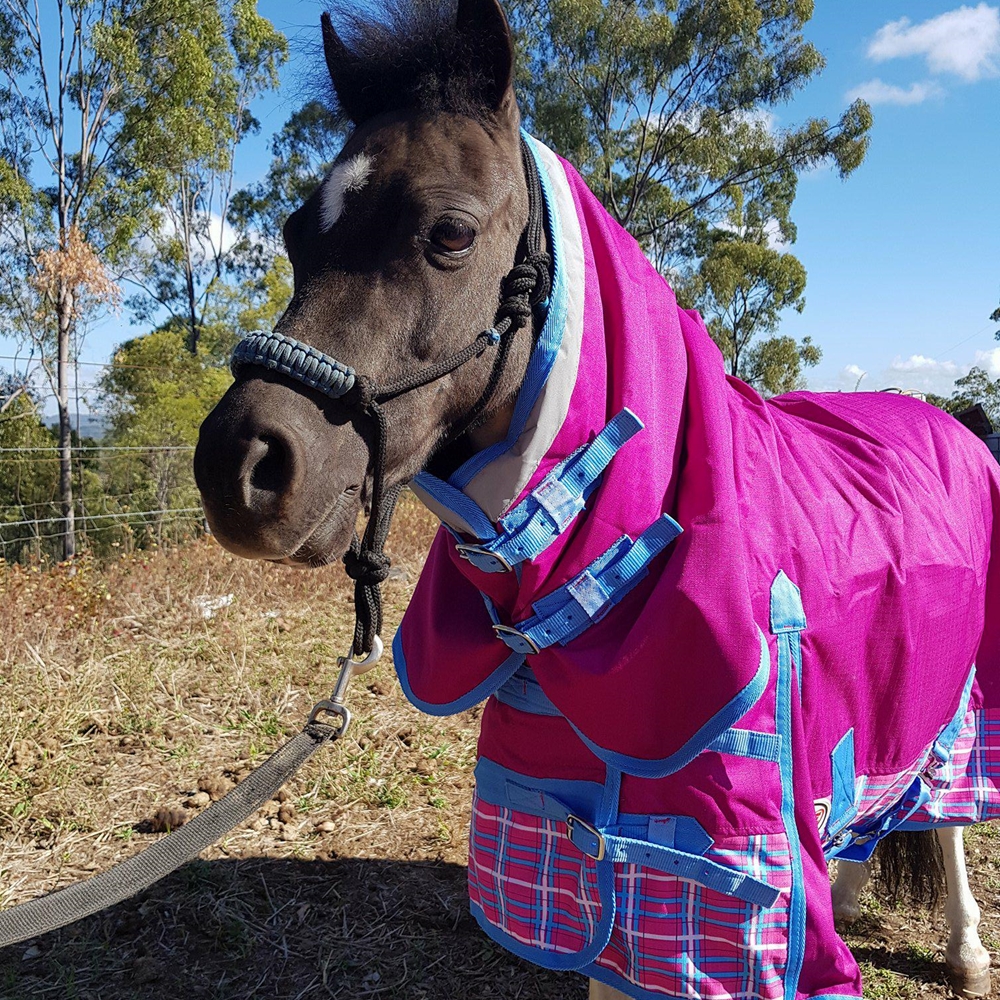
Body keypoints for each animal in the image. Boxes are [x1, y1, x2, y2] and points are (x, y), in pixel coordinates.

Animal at [194, 2, 1000, 997]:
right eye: (298, 235)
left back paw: (966, 951)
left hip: (962, 703)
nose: (239, 465)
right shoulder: (585, 847)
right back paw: (850, 896)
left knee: (951, 816)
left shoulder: (718, 876)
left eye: (450, 234)